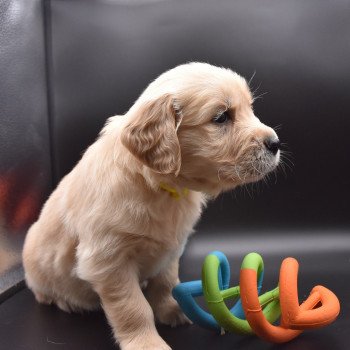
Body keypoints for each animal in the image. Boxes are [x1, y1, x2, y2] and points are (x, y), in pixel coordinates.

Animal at [22, 63, 278, 350]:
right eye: (222, 117)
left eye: (250, 109)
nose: (276, 143)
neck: (161, 187)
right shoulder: (108, 260)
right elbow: (133, 307)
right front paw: (146, 342)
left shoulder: (170, 250)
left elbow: (165, 284)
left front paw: (172, 310)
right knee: (45, 293)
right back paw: (66, 301)